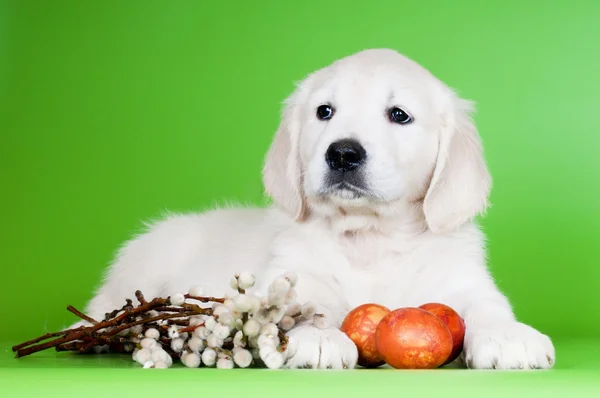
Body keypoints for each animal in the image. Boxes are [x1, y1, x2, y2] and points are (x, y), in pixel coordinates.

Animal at [78, 49, 552, 370]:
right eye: (325, 112)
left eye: (399, 115)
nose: (342, 153)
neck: (370, 237)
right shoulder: (294, 273)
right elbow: (307, 304)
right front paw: (321, 339)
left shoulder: (462, 277)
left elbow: (487, 304)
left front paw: (509, 337)